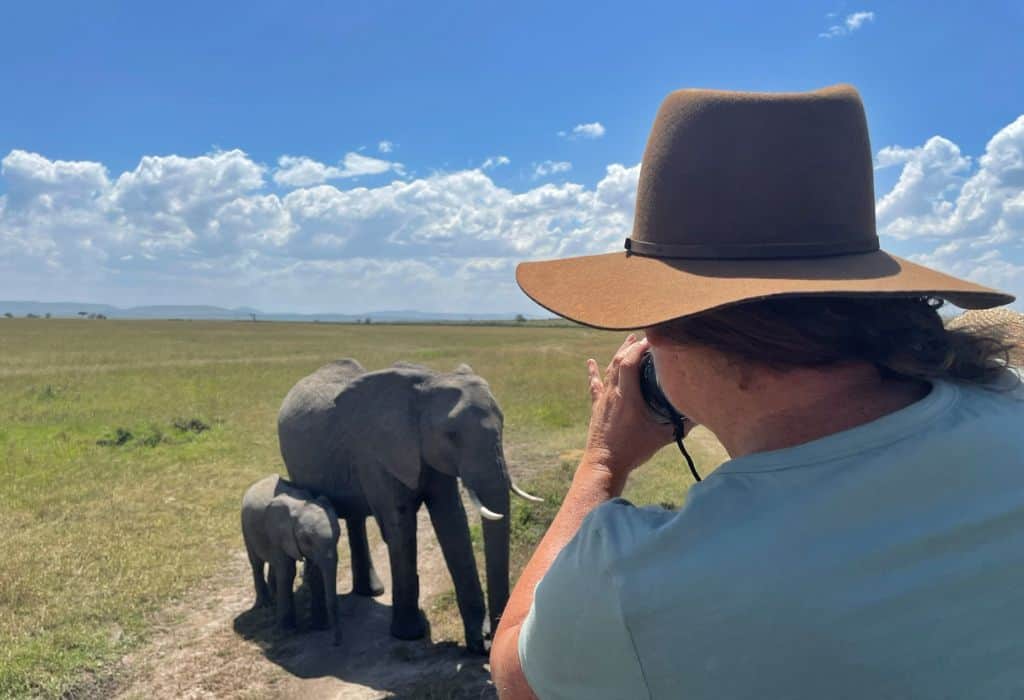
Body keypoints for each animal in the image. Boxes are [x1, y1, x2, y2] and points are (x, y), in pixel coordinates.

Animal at [240, 474, 344, 646]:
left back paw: (275, 598)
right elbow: (288, 572)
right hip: (246, 528)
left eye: (339, 536)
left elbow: (315, 572)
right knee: (256, 564)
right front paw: (286, 632)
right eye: (307, 540)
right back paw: (265, 605)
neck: (302, 505)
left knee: (273, 565)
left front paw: (319, 626)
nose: (336, 642)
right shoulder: (277, 533)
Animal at [276, 358, 540, 654]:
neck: (428, 382)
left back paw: (372, 592)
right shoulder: (378, 454)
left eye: (503, 425)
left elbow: (452, 521)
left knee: (355, 519)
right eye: (451, 435)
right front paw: (410, 634)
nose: (491, 638)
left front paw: (476, 642)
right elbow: (400, 528)